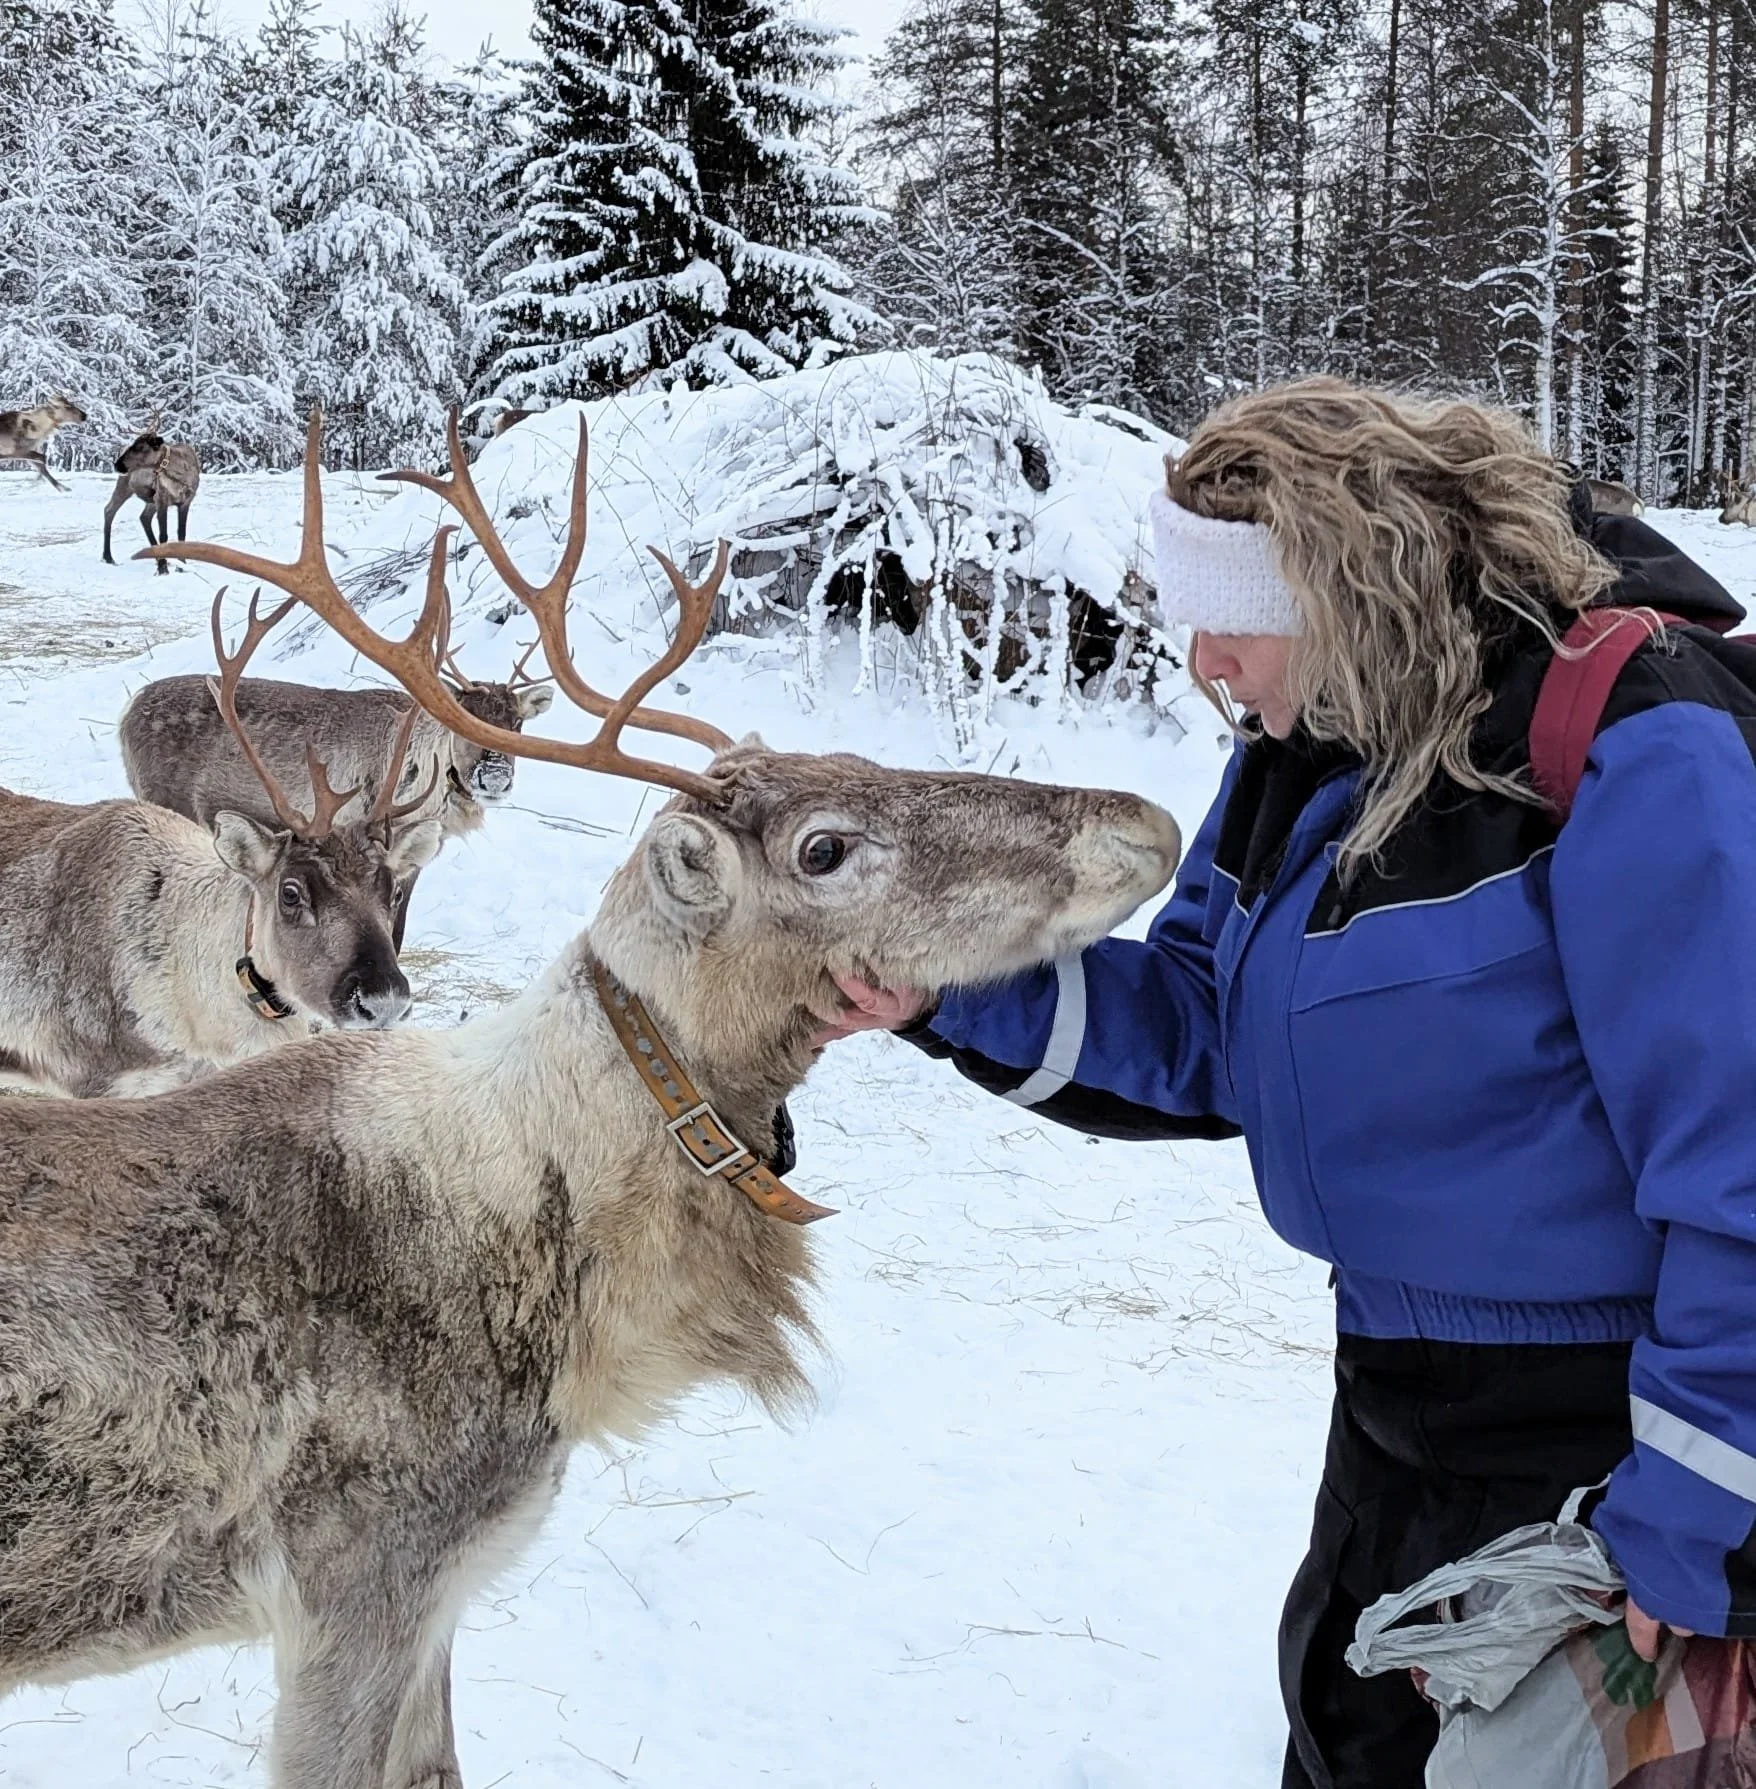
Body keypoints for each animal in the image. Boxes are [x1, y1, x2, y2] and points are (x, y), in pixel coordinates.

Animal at [102, 430, 202, 572]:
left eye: (140, 447)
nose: (117, 464)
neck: (180, 476)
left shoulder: (186, 501)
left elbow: (182, 534)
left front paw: (181, 565)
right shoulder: (161, 498)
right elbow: (163, 535)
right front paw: (163, 569)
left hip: (150, 500)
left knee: (144, 517)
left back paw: (157, 558)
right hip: (125, 486)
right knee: (109, 510)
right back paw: (108, 557)